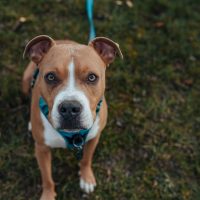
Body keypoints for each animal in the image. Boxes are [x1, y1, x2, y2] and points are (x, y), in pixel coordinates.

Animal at [21, 35, 122, 199]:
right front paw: (48, 195)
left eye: (92, 77)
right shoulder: (41, 148)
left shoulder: (94, 137)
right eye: (50, 77)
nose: (69, 108)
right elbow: (47, 178)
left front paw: (86, 178)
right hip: (25, 79)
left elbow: (86, 159)